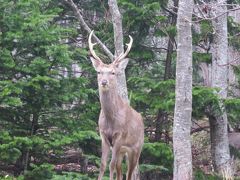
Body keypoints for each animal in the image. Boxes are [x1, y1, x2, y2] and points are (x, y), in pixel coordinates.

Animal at [88, 30, 144, 179]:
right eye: (99, 72)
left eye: (113, 72)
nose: (104, 82)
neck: (110, 120)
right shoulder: (103, 136)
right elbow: (102, 165)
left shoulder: (119, 135)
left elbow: (110, 165)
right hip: (121, 151)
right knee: (120, 172)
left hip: (136, 148)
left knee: (129, 173)